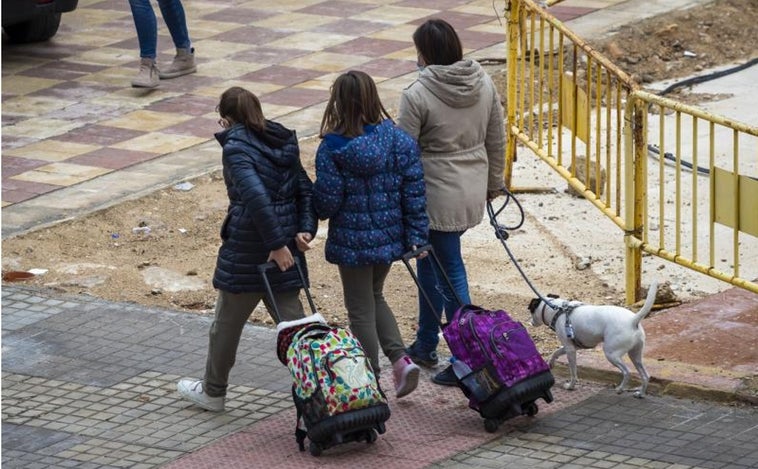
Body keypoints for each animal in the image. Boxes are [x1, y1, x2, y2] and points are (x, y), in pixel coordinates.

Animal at [528, 280, 660, 396]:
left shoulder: (570, 350)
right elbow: (556, 352)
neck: (557, 310)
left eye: (531, 310)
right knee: (645, 375)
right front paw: (551, 362)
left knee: (626, 372)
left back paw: (620, 389)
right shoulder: (572, 346)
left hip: (611, 354)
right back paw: (640, 393)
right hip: (635, 355)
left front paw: (571, 386)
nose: (530, 322)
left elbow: (573, 372)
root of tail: (633, 321)